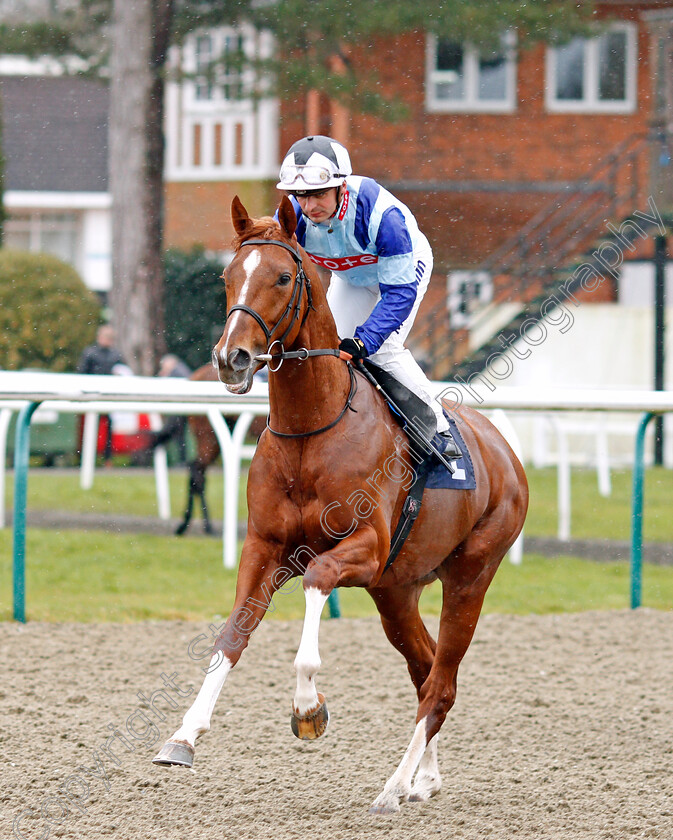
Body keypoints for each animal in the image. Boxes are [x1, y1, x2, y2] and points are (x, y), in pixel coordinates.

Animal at [155, 197, 528, 812]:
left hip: (470, 575)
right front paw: (183, 736)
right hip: (396, 591)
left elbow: (316, 582)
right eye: (227, 276)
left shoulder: (363, 550)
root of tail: (505, 453)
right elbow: (231, 637)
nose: (232, 358)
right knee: (426, 669)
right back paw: (423, 778)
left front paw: (308, 708)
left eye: (282, 278)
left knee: (442, 682)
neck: (312, 430)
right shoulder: (266, 548)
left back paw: (394, 785)